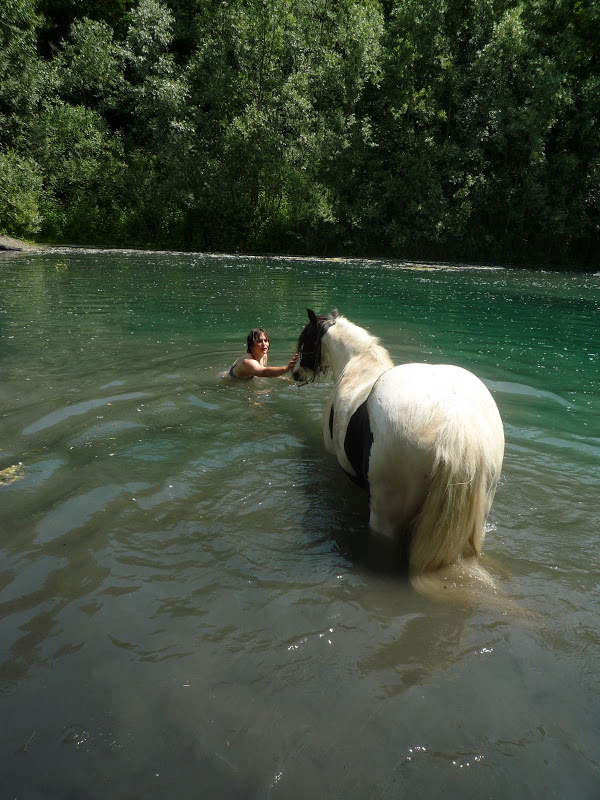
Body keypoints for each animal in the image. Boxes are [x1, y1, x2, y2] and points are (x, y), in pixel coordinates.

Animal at [292, 308, 504, 580]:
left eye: (306, 340)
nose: (296, 373)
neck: (357, 368)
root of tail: (457, 418)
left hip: (386, 516)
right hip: (479, 517)